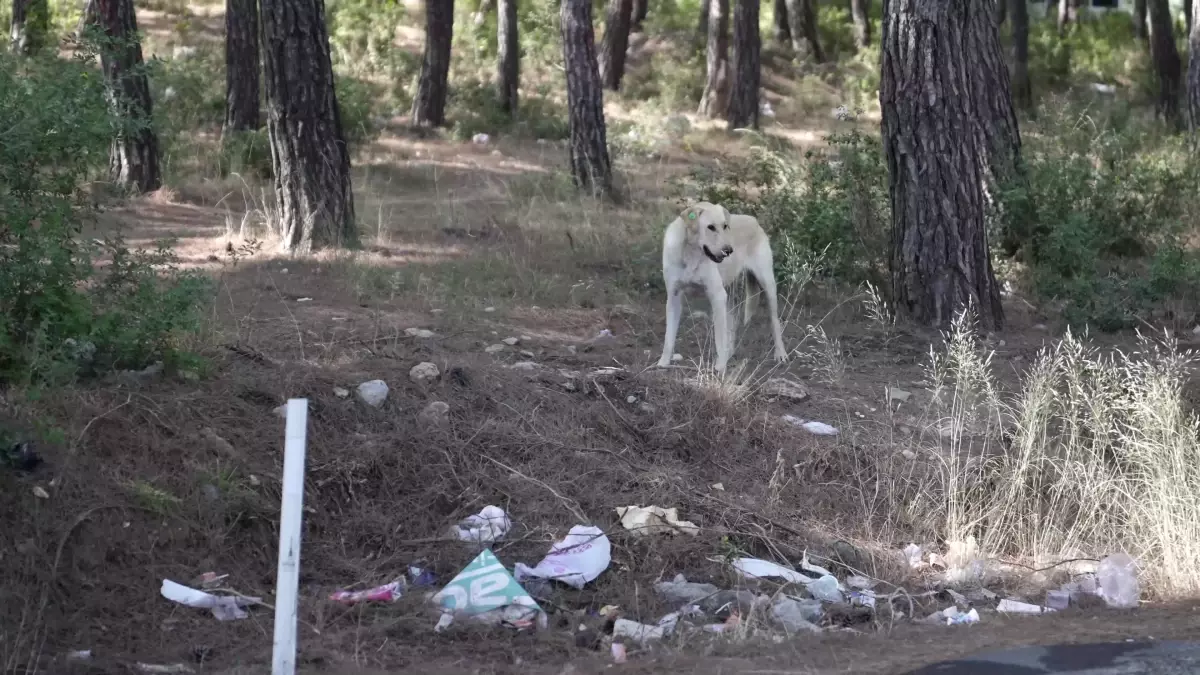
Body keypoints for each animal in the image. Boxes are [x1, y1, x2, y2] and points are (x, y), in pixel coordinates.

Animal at [657, 199, 787, 369]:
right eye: (710, 227)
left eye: (725, 226)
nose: (729, 250)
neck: (691, 253)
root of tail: (754, 220)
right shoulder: (674, 297)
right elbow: (669, 336)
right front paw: (663, 362)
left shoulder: (717, 296)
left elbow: (719, 336)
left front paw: (720, 367)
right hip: (729, 297)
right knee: (732, 327)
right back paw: (728, 354)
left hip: (767, 286)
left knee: (775, 322)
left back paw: (780, 354)